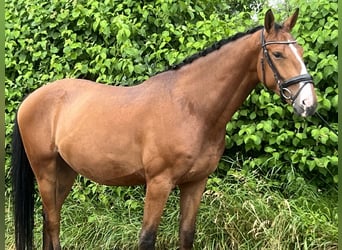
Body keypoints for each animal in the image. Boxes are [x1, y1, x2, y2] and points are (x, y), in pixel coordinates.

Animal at [12, 9, 318, 250]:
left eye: (301, 52)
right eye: (277, 53)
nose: (309, 104)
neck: (191, 107)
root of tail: (30, 99)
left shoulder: (195, 184)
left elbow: (187, 235)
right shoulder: (158, 184)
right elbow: (147, 239)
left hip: (65, 172)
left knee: (50, 218)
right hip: (45, 171)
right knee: (52, 221)